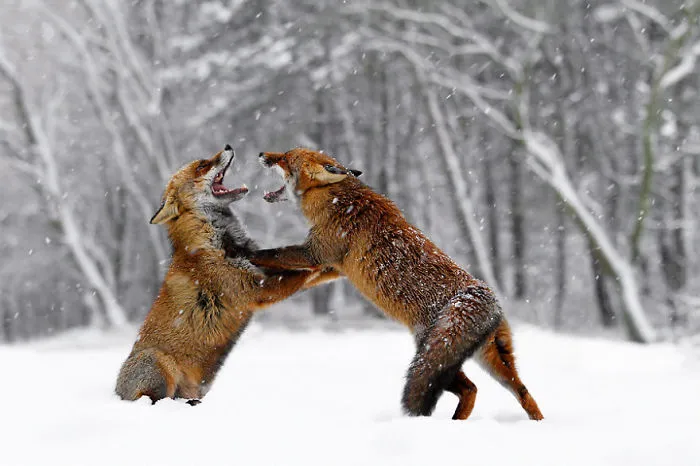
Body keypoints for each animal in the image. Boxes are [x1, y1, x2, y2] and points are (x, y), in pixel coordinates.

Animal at [115, 145, 327, 404]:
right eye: (202, 166)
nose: (227, 146)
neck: (219, 243)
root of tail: (116, 392)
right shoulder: (257, 289)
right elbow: (303, 274)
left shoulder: (262, 270)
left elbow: (313, 274)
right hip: (160, 364)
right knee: (155, 399)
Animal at [250, 147, 543, 421]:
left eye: (285, 157)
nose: (262, 153)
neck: (335, 201)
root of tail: (482, 294)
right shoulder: (332, 267)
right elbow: (293, 275)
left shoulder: (316, 253)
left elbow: (270, 253)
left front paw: (243, 253)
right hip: (492, 361)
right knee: (521, 391)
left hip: (434, 354)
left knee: (470, 389)